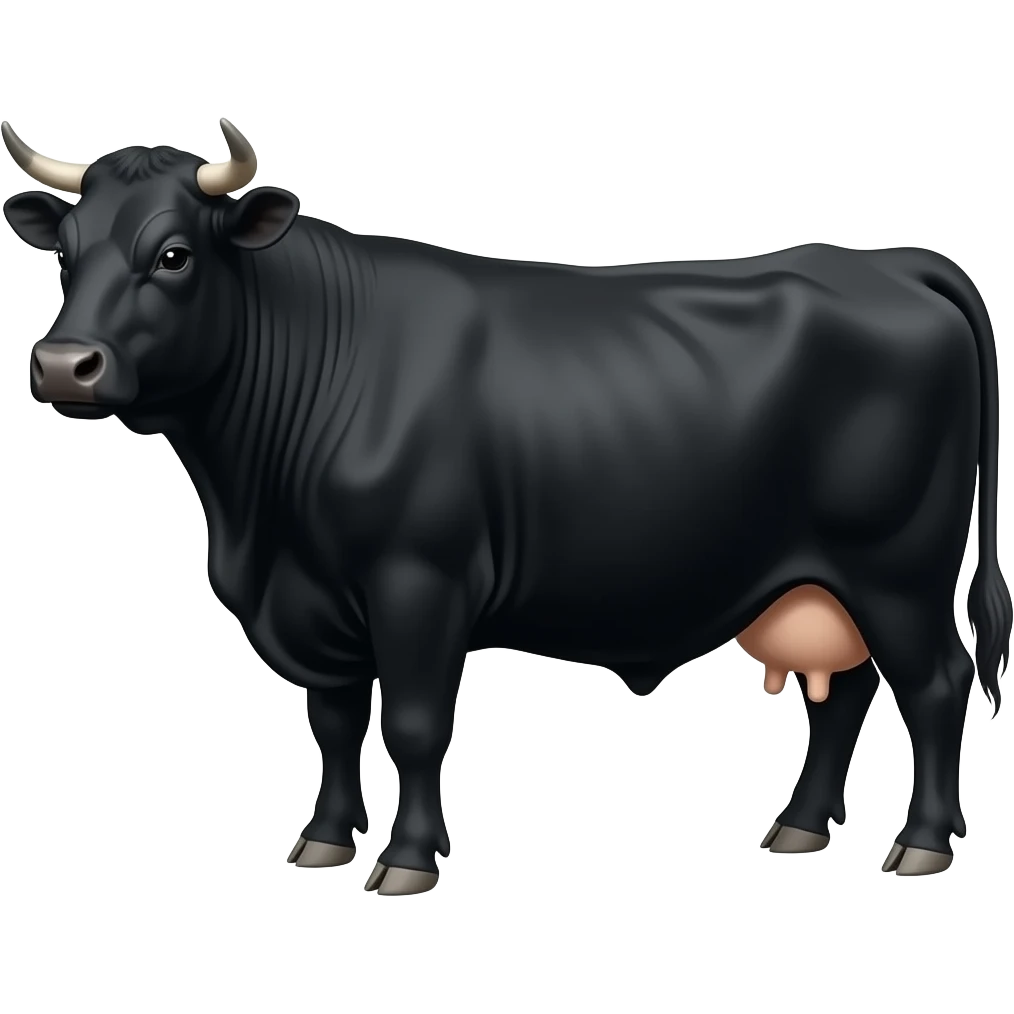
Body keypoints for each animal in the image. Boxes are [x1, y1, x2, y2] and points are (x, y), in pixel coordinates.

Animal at [3, 117, 1010, 892]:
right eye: (67, 257)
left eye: (172, 255)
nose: (62, 364)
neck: (258, 516)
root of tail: (888, 264)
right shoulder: (311, 597)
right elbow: (334, 723)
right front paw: (321, 844)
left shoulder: (418, 581)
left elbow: (412, 726)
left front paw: (408, 862)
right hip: (825, 578)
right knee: (846, 694)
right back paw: (797, 828)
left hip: (900, 567)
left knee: (936, 683)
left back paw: (920, 847)